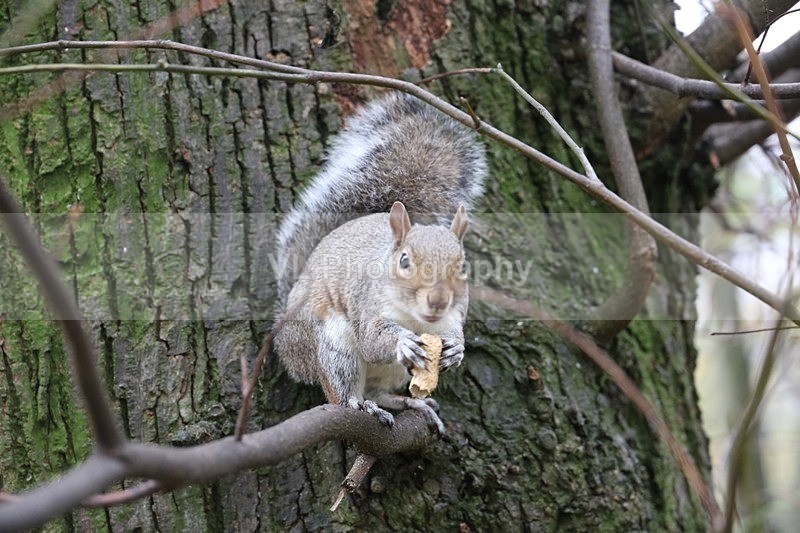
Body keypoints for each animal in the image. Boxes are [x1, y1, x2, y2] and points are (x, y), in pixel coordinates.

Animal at [273, 92, 487, 433]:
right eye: (404, 261)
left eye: (463, 267)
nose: (438, 300)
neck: (416, 320)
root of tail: (284, 341)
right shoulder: (368, 303)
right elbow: (373, 342)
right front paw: (402, 343)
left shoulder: (453, 317)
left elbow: (455, 334)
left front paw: (456, 351)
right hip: (333, 345)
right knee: (340, 391)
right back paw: (358, 404)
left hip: (392, 371)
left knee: (378, 390)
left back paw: (411, 403)